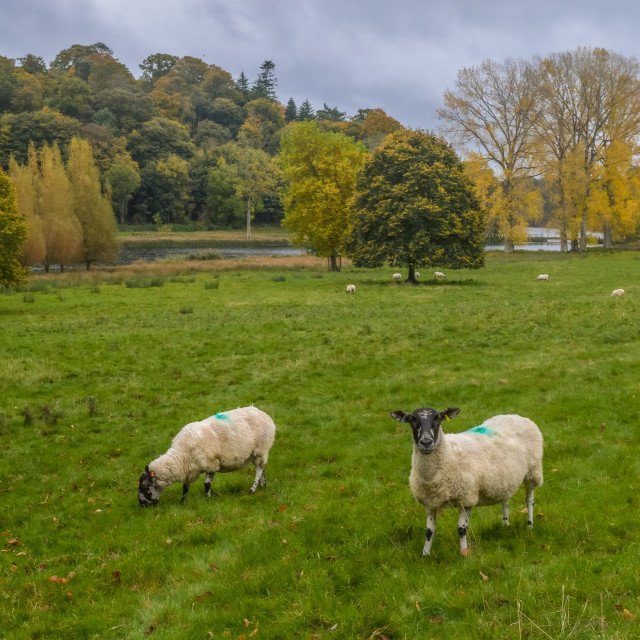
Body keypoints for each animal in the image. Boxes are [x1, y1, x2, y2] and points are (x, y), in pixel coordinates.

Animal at [139, 408, 276, 508]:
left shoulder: (211, 464)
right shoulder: (189, 470)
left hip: (261, 449)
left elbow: (207, 484)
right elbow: (185, 486)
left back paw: (252, 489)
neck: (181, 454)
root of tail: (263, 414)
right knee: (262, 469)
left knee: (259, 470)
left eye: (145, 486)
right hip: (256, 454)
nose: (142, 505)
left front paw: (208, 498)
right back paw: (263, 485)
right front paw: (183, 501)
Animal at [388, 408, 544, 556]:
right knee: (505, 500)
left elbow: (461, 529)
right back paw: (506, 524)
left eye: (438, 419)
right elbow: (429, 531)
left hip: (533, 471)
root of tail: (515, 416)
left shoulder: (466, 498)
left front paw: (464, 553)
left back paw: (530, 525)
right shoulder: (430, 502)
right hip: (504, 478)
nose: (426, 442)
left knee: (529, 500)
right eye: (412, 420)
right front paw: (425, 554)